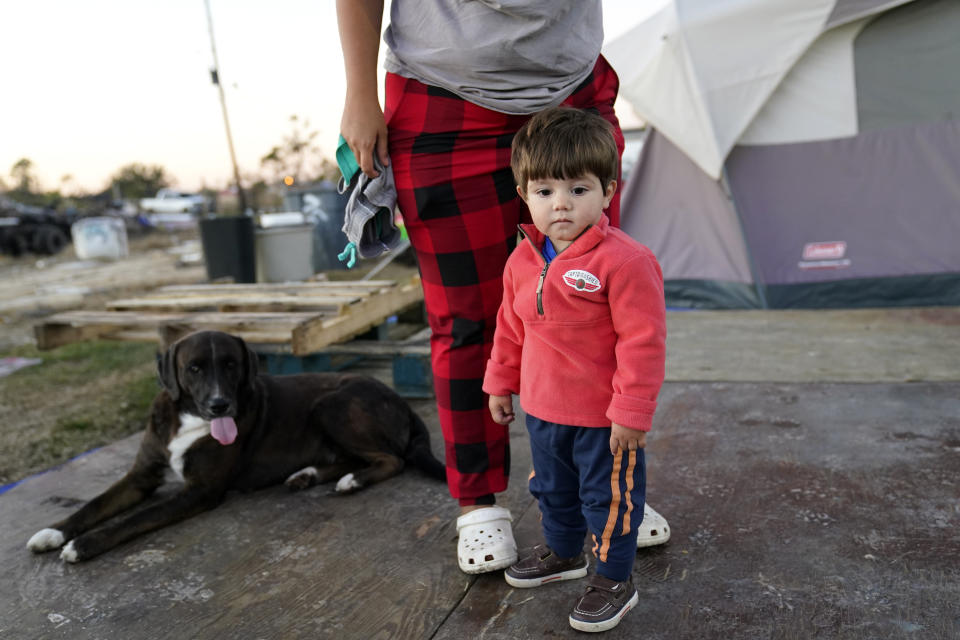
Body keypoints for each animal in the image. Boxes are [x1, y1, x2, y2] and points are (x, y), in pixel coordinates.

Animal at [26, 330, 446, 560]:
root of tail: (403, 401)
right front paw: (54, 532)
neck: (189, 420)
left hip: (331, 404)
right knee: (350, 458)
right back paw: (306, 475)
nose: (220, 404)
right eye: (194, 368)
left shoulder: (201, 490)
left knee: (391, 459)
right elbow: (96, 504)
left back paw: (352, 481)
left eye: (231, 364)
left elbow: (135, 518)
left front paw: (83, 545)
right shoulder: (141, 476)